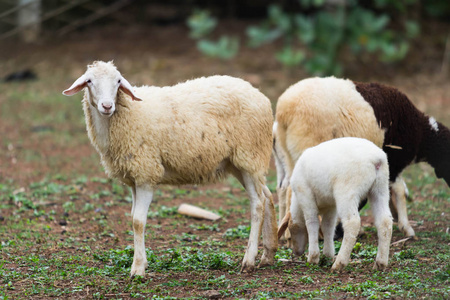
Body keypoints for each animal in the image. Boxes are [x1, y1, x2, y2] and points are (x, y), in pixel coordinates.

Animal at [60, 60, 278, 276]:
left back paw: (249, 260)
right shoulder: (133, 177)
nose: (107, 105)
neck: (128, 113)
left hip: (249, 155)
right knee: (267, 196)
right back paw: (268, 254)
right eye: (89, 81)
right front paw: (142, 262)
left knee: (257, 204)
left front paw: (137, 269)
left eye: (119, 81)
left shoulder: (146, 173)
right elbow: (133, 217)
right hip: (239, 163)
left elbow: (138, 221)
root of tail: (260, 96)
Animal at [280, 137, 392, 270]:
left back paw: (339, 263)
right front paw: (328, 255)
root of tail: (376, 159)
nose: (296, 252)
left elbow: (312, 223)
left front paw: (313, 257)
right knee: (385, 221)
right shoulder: (331, 205)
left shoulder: (306, 196)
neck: (297, 203)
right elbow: (328, 226)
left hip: (347, 191)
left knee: (352, 223)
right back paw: (381, 263)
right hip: (380, 188)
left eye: (291, 229)